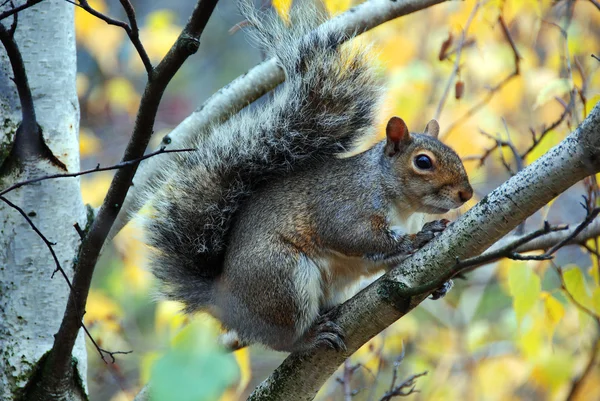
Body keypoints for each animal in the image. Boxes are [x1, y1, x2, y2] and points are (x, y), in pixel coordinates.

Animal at [143, 1, 472, 352]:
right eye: (423, 162)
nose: (466, 194)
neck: (401, 204)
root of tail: (224, 300)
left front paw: (441, 283)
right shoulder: (345, 205)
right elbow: (356, 236)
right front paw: (419, 238)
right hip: (282, 278)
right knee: (283, 338)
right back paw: (309, 337)